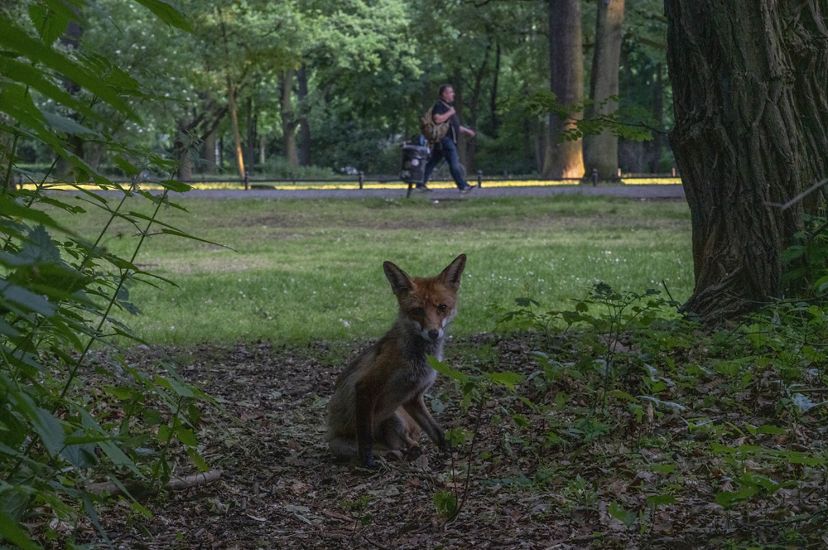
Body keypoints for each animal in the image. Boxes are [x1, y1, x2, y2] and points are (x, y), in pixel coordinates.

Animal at [327, 254, 467, 468]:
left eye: (442, 307)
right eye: (417, 310)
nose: (433, 333)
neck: (418, 360)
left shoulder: (413, 397)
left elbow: (437, 432)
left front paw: (449, 454)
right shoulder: (366, 387)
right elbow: (365, 439)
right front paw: (367, 462)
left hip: (395, 417)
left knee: (406, 443)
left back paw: (409, 451)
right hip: (341, 444)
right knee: (386, 449)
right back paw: (388, 456)